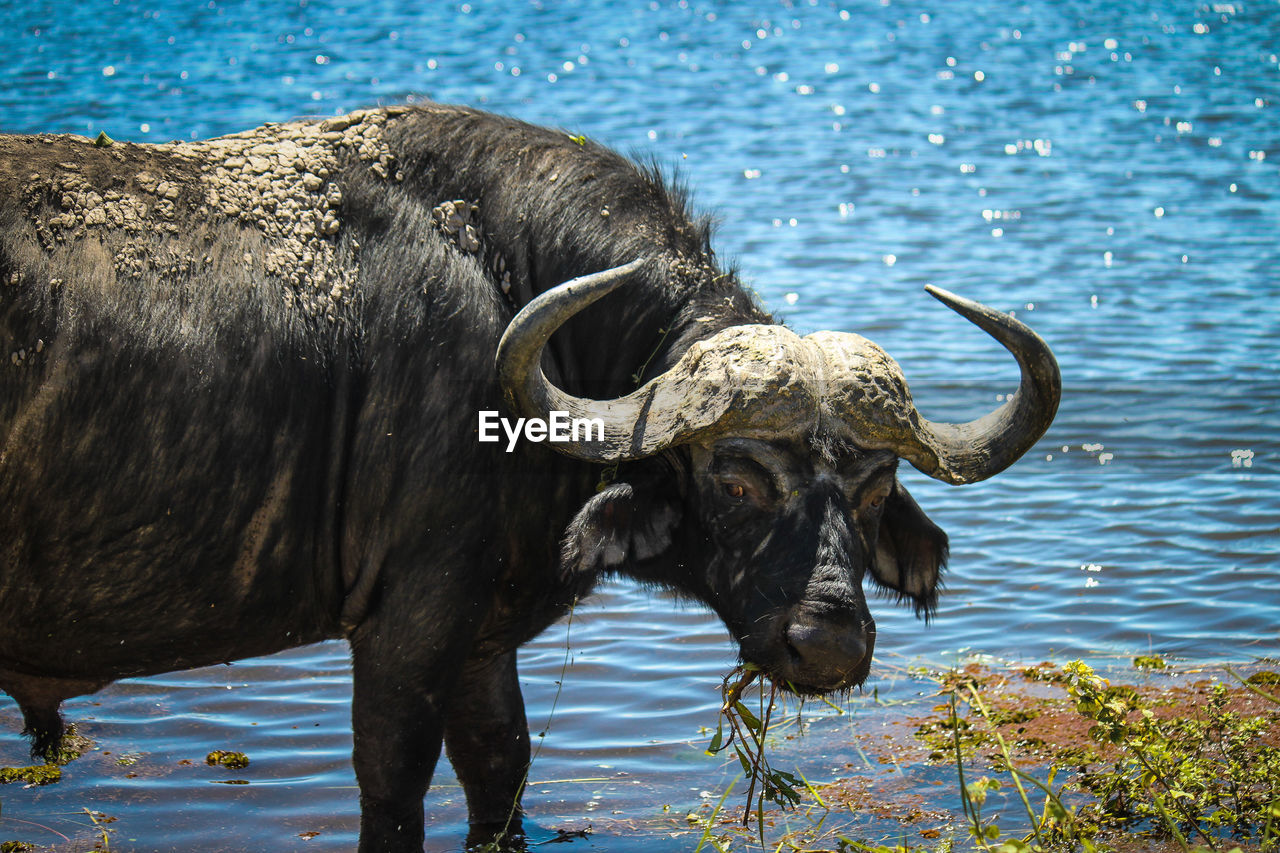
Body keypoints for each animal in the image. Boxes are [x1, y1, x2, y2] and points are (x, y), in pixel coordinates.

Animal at [0, 104, 1059, 850]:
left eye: (876, 488)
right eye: (737, 480)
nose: (830, 643)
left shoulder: (481, 641)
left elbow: (501, 771)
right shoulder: (405, 628)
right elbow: (392, 784)